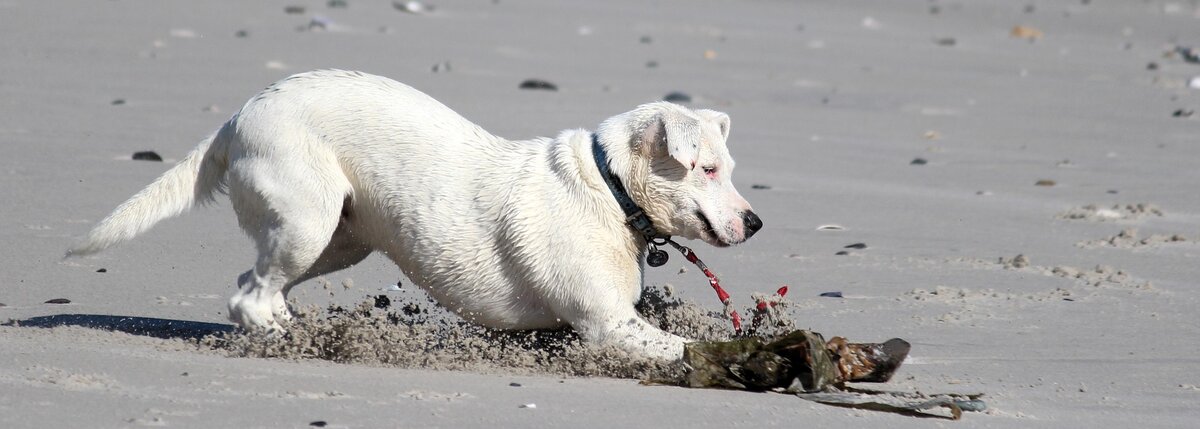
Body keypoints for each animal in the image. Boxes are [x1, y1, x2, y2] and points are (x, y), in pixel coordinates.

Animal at [68, 71, 758, 361]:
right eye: (706, 169)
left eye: (727, 165)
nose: (755, 225)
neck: (610, 188)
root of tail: (238, 116)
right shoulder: (608, 326)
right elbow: (689, 347)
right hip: (308, 221)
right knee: (251, 297)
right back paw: (305, 344)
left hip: (338, 239)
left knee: (254, 288)